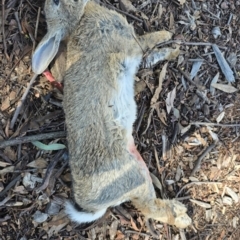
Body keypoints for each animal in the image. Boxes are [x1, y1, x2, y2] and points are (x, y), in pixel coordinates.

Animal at [31, 0, 191, 230]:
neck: (81, 19)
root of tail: (93, 206)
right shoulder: (129, 42)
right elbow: (148, 42)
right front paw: (169, 40)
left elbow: (151, 56)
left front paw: (172, 49)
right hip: (133, 178)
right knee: (150, 208)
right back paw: (182, 216)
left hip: (140, 171)